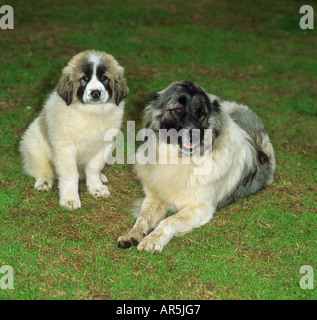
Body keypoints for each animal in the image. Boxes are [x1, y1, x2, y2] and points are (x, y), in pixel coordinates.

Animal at [19, 50, 128, 210]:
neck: (91, 112)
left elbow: (94, 167)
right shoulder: (65, 148)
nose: (95, 93)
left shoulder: (103, 146)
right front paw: (70, 199)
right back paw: (43, 181)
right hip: (33, 144)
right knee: (41, 168)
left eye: (104, 78)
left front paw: (96, 187)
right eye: (85, 78)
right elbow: (70, 173)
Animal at [117, 81, 276, 254]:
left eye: (201, 113)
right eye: (178, 110)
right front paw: (131, 235)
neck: (180, 158)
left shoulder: (200, 208)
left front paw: (153, 239)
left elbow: (169, 221)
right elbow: (143, 217)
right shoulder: (155, 197)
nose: (195, 134)